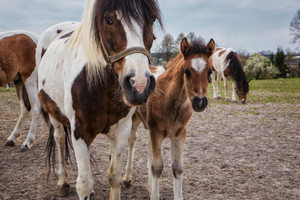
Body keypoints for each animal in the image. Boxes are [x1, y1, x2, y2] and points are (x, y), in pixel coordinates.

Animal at [38, 0, 162, 199]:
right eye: (109, 20)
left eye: (151, 19)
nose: (139, 84)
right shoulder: (79, 130)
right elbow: (84, 184)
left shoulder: (122, 129)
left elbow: (115, 176)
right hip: (54, 115)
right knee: (59, 139)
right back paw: (62, 182)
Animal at [124, 38, 216, 200]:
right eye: (187, 71)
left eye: (210, 71)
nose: (200, 102)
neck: (170, 99)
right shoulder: (157, 132)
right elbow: (157, 167)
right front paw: (155, 195)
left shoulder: (180, 134)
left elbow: (177, 168)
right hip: (135, 119)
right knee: (131, 141)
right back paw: (127, 179)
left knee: (148, 149)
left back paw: (149, 187)